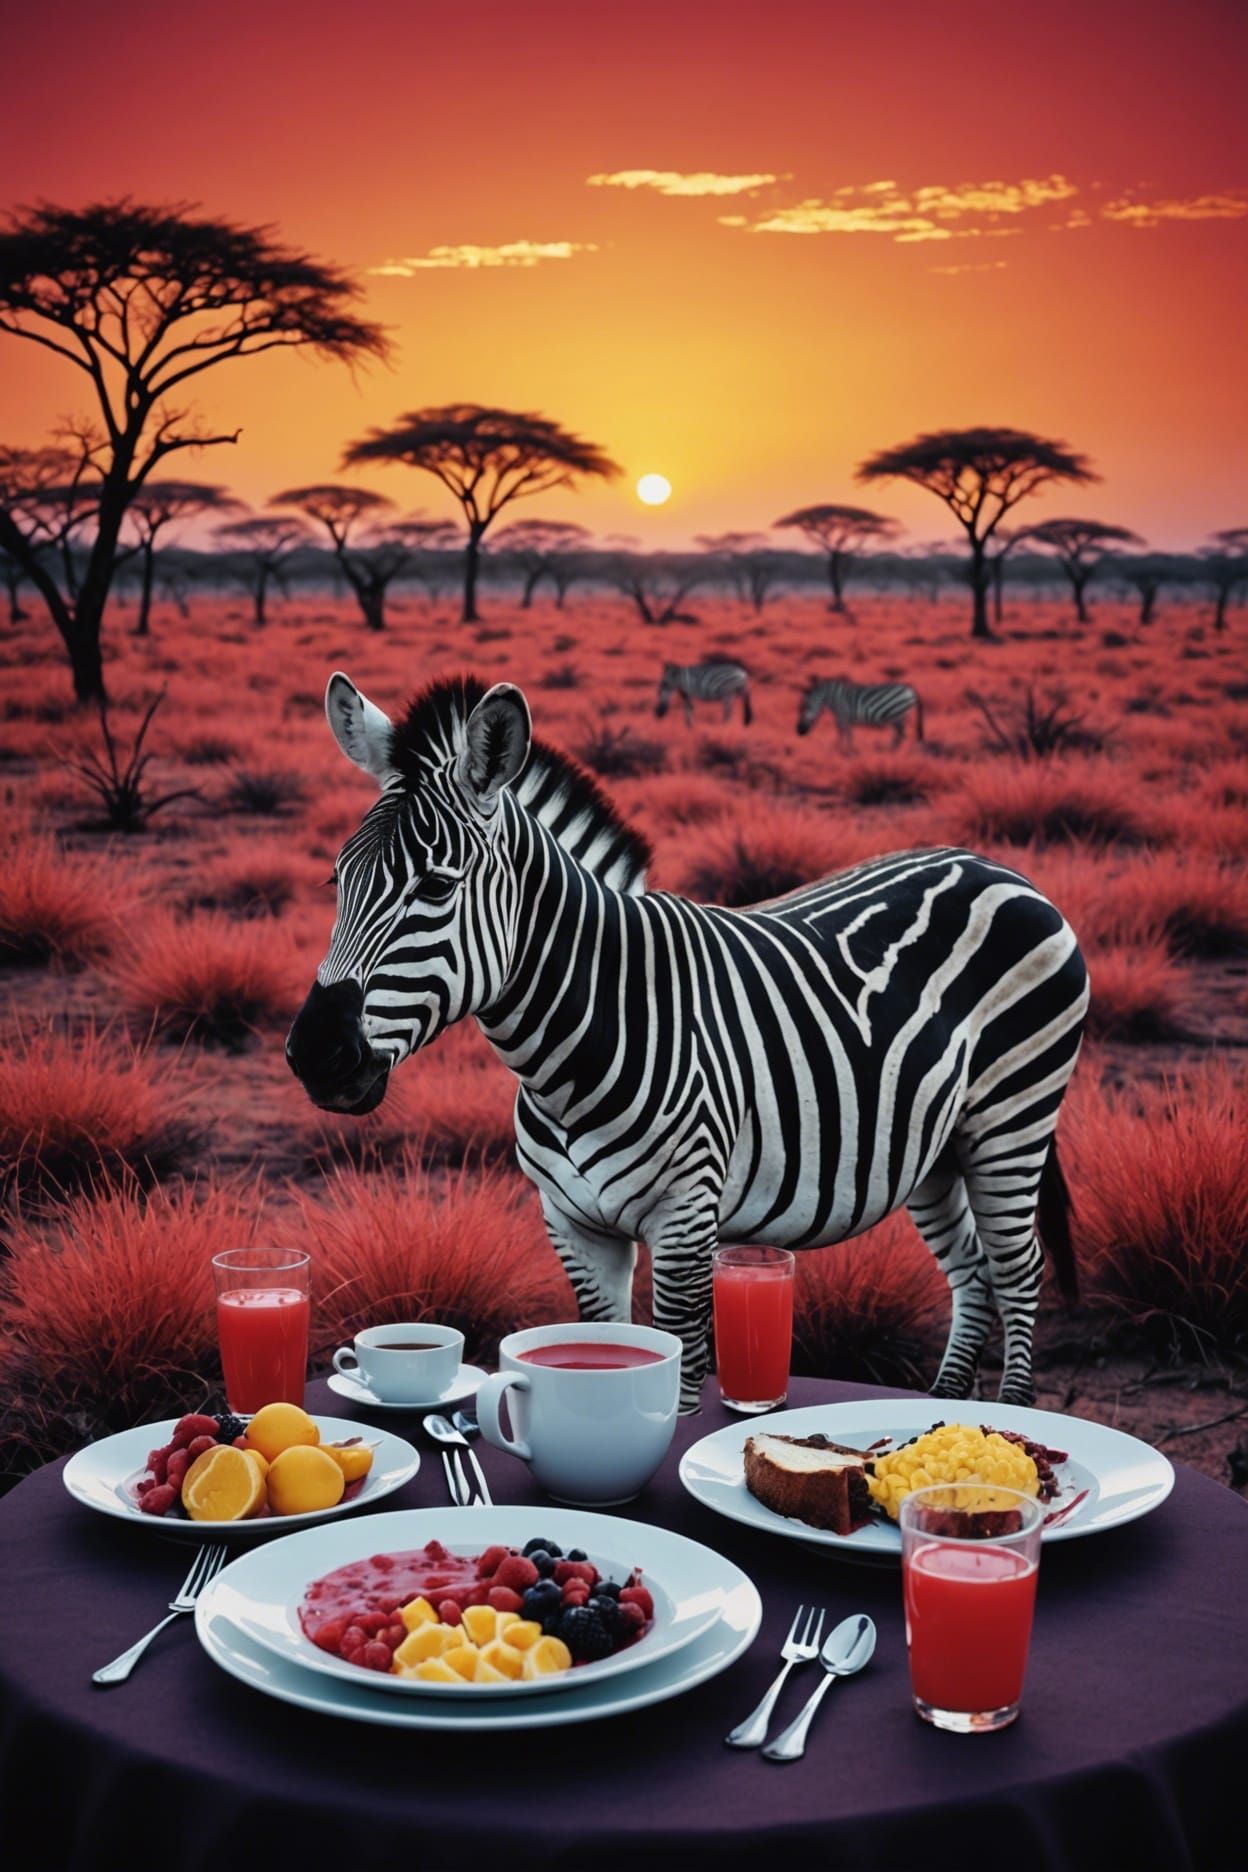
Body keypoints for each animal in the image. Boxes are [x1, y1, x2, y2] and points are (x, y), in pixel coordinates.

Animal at [287, 673, 1088, 1415]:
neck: (578, 1046)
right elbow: (604, 1335)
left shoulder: (684, 1216)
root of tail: (996, 867)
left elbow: (680, 1366)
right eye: (336, 879)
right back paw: (947, 1401)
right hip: (934, 1145)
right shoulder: (575, 1226)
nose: (315, 1054)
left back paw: (1012, 1412)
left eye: (436, 886)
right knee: (971, 1268)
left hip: (1013, 1117)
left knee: (1018, 1270)